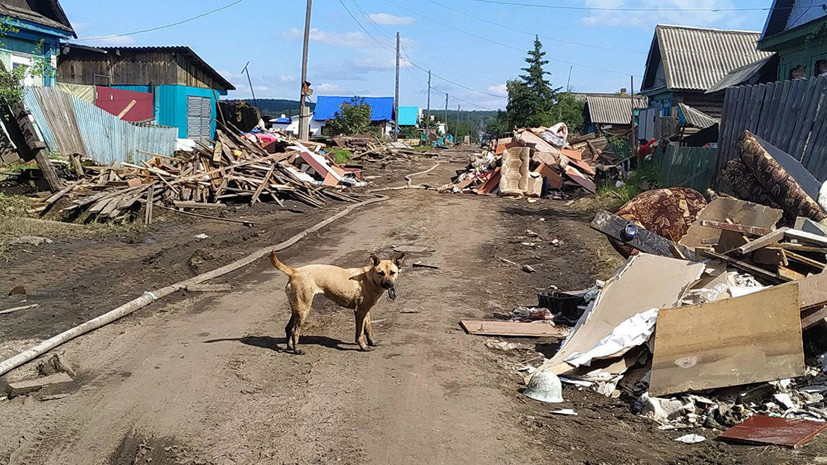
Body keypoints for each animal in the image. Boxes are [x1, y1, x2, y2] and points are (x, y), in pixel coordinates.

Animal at [270, 252, 402, 354]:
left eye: (392, 272)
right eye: (381, 273)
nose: (388, 284)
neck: (370, 278)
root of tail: (294, 271)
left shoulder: (366, 311)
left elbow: (368, 328)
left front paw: (372, 342)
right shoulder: (360, 312)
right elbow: (359, 333)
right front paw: (363, 347)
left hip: (296, 310)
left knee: (288, 328)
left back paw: (289, 347)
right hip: (303, 311)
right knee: (295, 331)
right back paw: (296, 350)